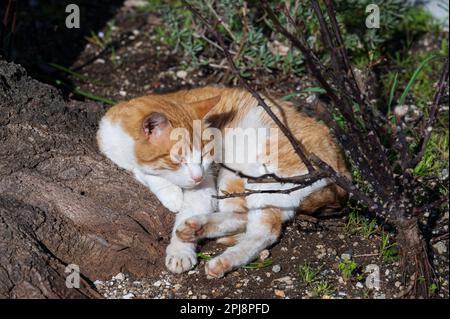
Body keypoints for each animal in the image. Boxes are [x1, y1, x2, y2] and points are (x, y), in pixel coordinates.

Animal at [95, 87, 350, 278]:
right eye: (179, 159)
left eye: (204, 156)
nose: (196, 176)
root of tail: (342, 165)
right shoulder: (109, 144)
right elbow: (144, 172)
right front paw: (170, 193)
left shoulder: (206, 182)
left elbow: (187, 203)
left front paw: (179, 251)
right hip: (234, 181)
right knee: (242, 217)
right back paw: (198, 227)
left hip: (269, 182)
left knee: (265, 231)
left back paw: (224, 259)